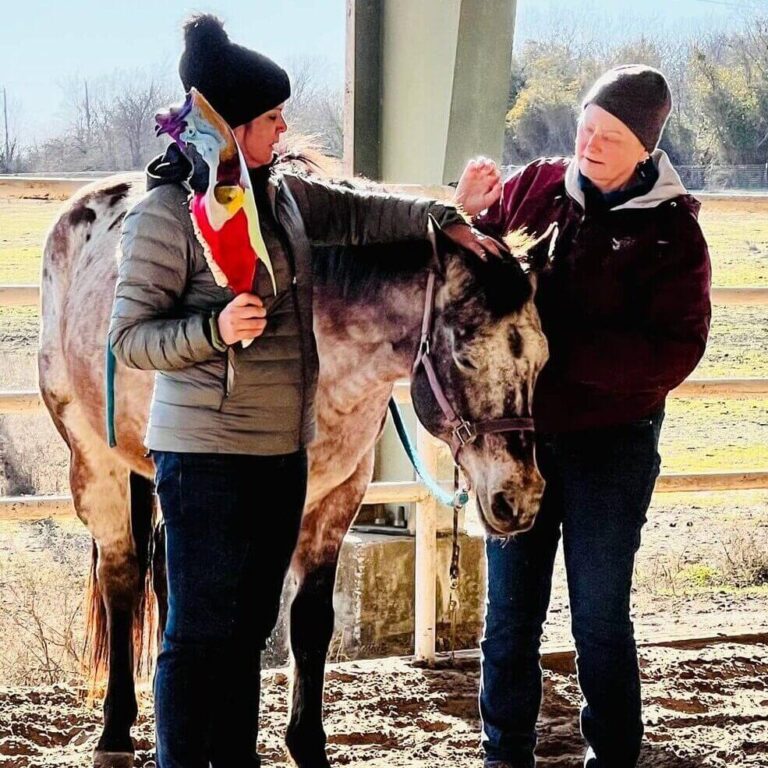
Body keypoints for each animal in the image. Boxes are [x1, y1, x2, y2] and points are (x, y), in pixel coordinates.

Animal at [39, 154, 548, 768]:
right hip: (95, 464)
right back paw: (115, 733)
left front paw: (306, 743)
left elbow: (308, 624)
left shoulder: (338, 497)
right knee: (122, 579)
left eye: (542, 358)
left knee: (166, 581)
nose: (519, 498)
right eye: (467, 353)